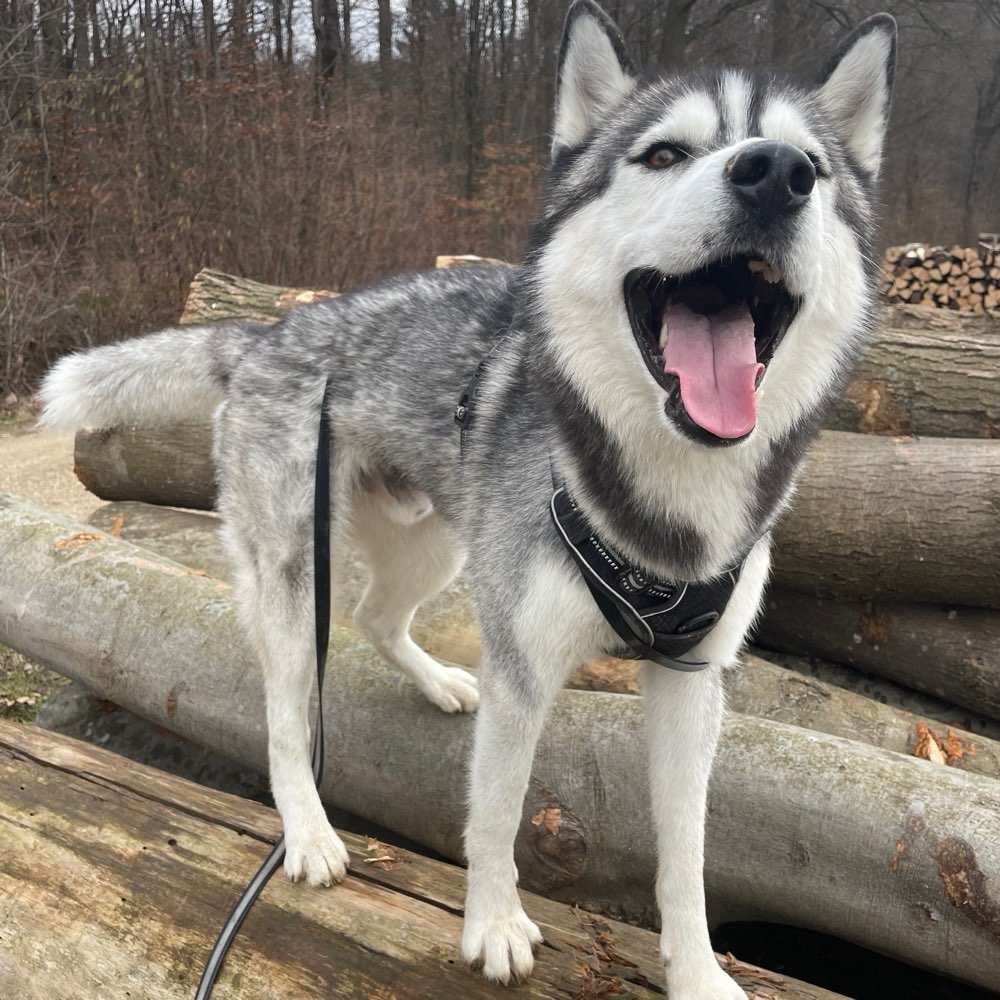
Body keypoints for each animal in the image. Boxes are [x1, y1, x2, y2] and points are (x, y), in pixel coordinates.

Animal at [39, 3, 900, 996]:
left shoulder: (692, 680)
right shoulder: (524, 673)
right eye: (663, 154)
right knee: (286, 716)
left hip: (438, 544)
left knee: (376, 616)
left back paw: (441, 682)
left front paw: (694, 971)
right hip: (298, 578)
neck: (662, 501)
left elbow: (686, 854)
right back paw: (309, 831)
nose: (775, 174)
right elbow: (496, 813)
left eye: (814, 168)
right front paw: (492, 925)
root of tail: (270, 330)